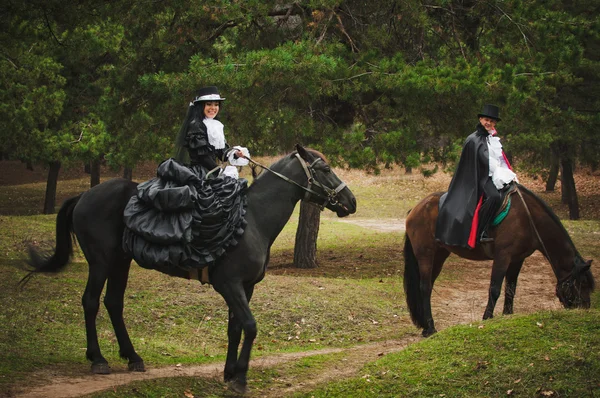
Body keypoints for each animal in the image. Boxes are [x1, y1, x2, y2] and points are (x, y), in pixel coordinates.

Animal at [24, 146, 356, 394]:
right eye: (325, 169)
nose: (351, 201)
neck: (252, 221)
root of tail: (85, 195)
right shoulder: (229, 285)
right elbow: (250, 326)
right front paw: (241, 379)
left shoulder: (245, 287)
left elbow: (235, 328)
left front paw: (229, 372)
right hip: (101, 262)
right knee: (91, 302)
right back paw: (98, 359)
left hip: (120, 262)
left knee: (113, 303)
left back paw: (133, 357)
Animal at [404, 185, 596, 338]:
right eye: (582, 284)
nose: (585, 308)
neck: (528, 219)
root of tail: (415, 209)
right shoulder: (503, 256)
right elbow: (495, 289)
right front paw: (487, 318)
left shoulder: (517, 259)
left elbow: (510, 289)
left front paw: (508, 315)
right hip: (425, 254)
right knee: (425, 287)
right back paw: (430, 328)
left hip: (439, 255)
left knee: (427, 286)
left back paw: (425, 325)